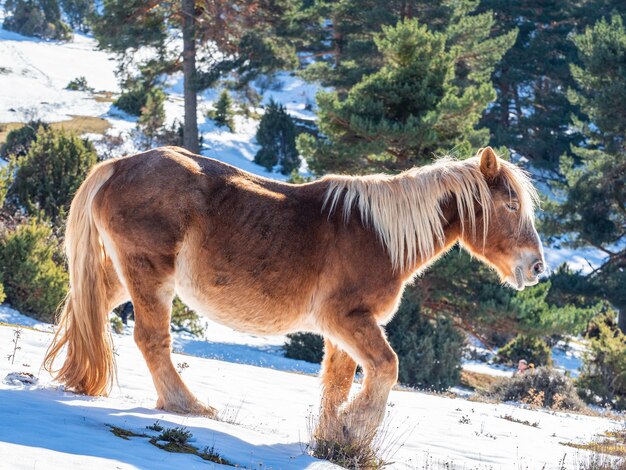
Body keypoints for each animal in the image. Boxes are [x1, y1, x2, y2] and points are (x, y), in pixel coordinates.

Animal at [42, 146, 540, 448]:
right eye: (511, 204)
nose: (536, 267)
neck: (379, 235)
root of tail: (120, 165)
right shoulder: (347, 318)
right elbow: (387, 367)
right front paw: (355, 429)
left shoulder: (340, 330)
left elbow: (336, 383)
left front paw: (331, 440)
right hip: (150, 275)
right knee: (151, 339)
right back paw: (189, 406)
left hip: (123, 276)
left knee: (87, 309)